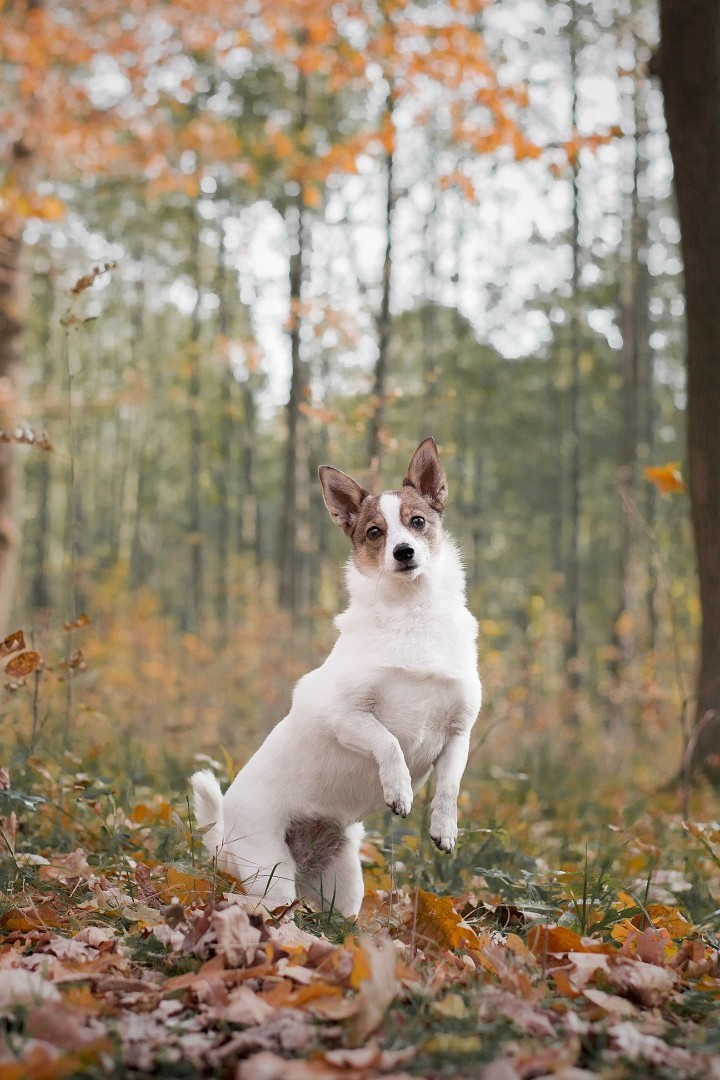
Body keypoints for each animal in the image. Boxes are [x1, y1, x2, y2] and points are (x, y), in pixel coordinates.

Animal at [194, 438, 481, 920]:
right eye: (374, 532)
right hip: (270, 874)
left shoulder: (459, 734)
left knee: (339, 922)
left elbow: (450, 785)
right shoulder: (344, 716)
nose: (404, 552)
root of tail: (224, 839)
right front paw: (399, 789)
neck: (413, 614)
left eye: (417, 522)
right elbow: (389, 742)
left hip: (344, 884)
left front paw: (444, 827)